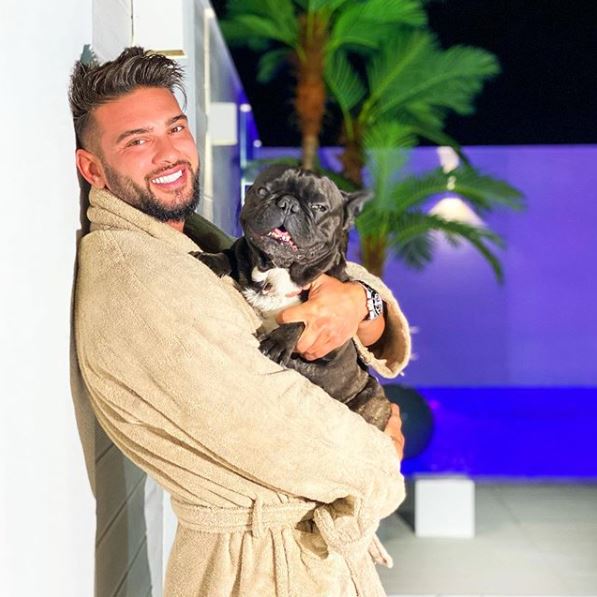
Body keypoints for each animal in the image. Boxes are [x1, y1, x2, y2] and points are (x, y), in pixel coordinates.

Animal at [191, 165, 392, 430]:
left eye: (319, 207)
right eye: (263, 190)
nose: (288, 204)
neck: (277, 270)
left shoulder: (332, 344)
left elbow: (303, 318)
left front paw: (279, 342)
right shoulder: (241, 252)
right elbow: (229, 254)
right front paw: (211, 258)